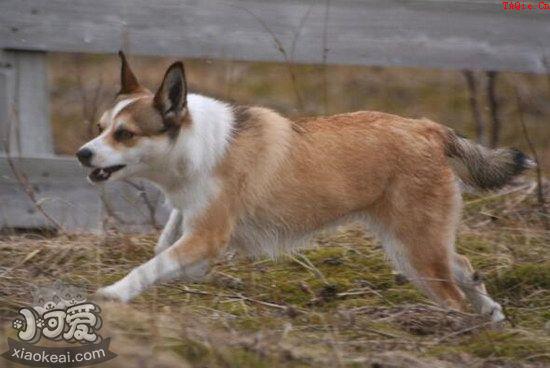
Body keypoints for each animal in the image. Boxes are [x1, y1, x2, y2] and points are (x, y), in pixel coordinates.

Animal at [77, 50, 536, 320]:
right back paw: (491, 313)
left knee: (454, 294)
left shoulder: (206, 236)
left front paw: (115, 292)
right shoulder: (195, 231)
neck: (194, 146)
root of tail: (429, 129)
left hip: (414, 250)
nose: (82, 154)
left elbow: (149, 265)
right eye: (100, 128)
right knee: (463, 266)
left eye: (125, 134)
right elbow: (163, 247)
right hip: (420, 243)